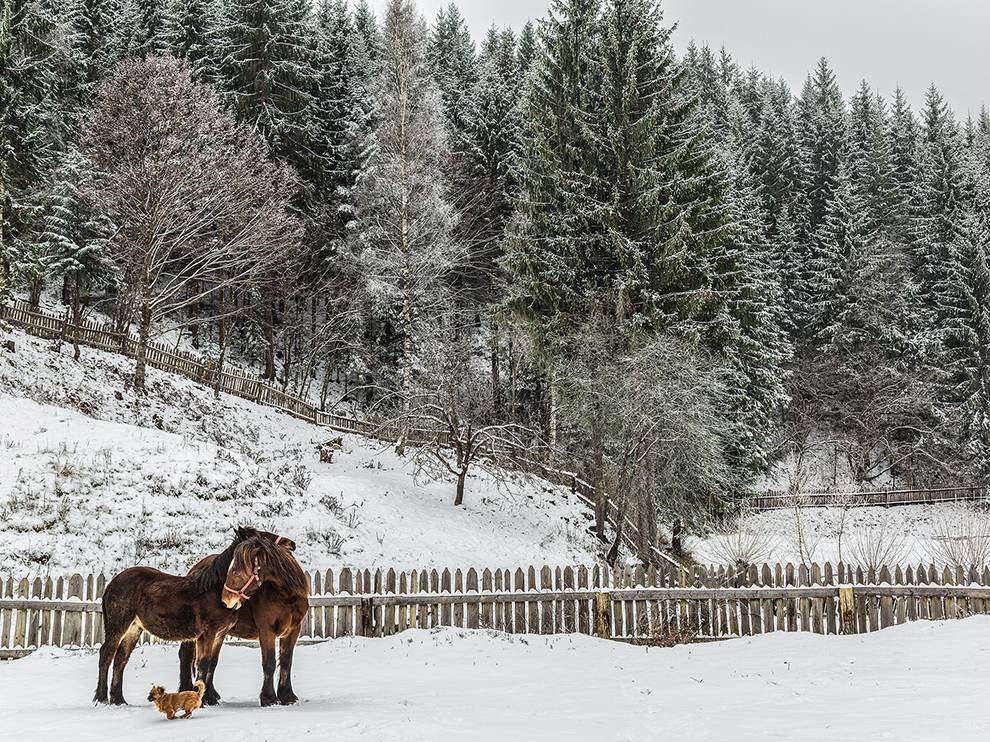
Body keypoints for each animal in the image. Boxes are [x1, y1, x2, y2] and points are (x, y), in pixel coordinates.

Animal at [93, 528, 294, 704]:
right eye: (262, 537)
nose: (290, 544)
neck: (214, 590)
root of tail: (111, 584)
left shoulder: (219, 634)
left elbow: (210, 663)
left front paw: (209, 697)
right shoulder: (207, 633)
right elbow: (203, 664)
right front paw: (203, 699)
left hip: (134, 628)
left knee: (121, 660)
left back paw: (118, 700)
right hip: (118, 626)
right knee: (107, 655)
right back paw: (101, 698)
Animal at [179, 528, 310, 708]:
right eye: (264, 535)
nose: (291, 544)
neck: (286, 595)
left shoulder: (293, 630)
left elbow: (286, 663)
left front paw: (287, 696)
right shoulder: (266, 630)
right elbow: (269, 663)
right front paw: (269, 698)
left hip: (219, 634)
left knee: (212, 661)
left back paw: (211, 696)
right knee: (187, 657)